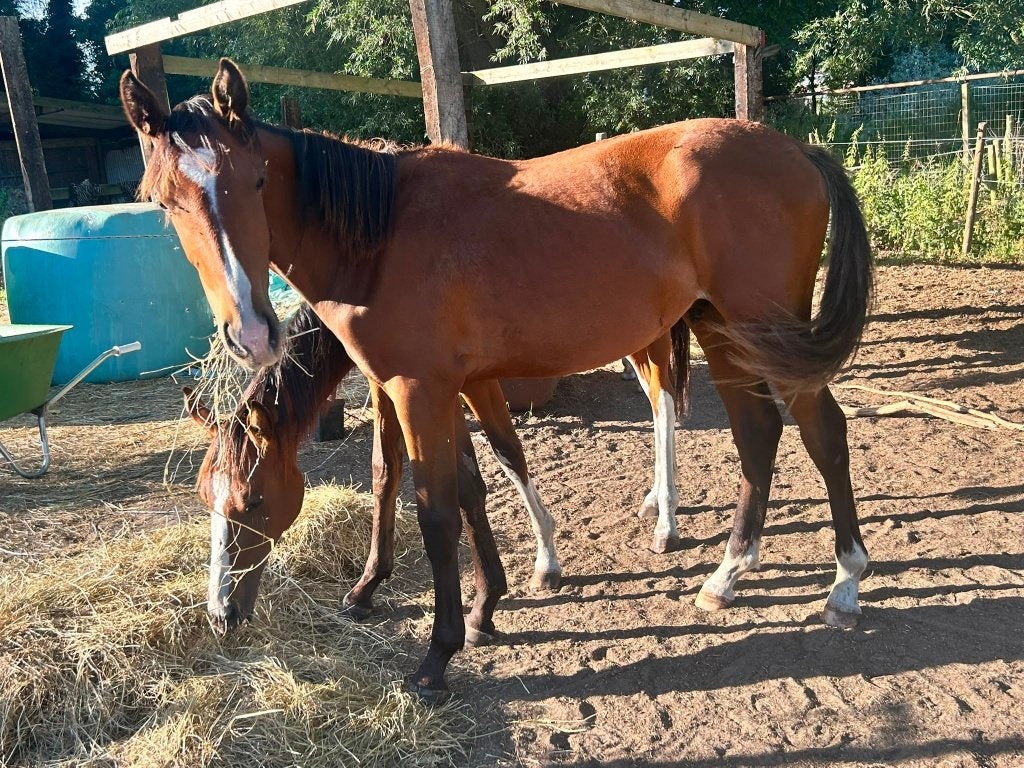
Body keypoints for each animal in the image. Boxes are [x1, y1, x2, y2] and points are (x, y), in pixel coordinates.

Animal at [121, 58, 873, 699]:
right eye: (162, 201)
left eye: (253, 180)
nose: (222, 611)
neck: (377, 236)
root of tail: (794, 150)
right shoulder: (430, 386)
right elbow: (455, 481)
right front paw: (479, 603)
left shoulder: (418, 391)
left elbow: (436, 507)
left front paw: (439, 653)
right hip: (724, 332)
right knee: (759, 433)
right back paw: (728, 573)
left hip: (766, 335)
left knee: (822, 432)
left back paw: (843, 582)